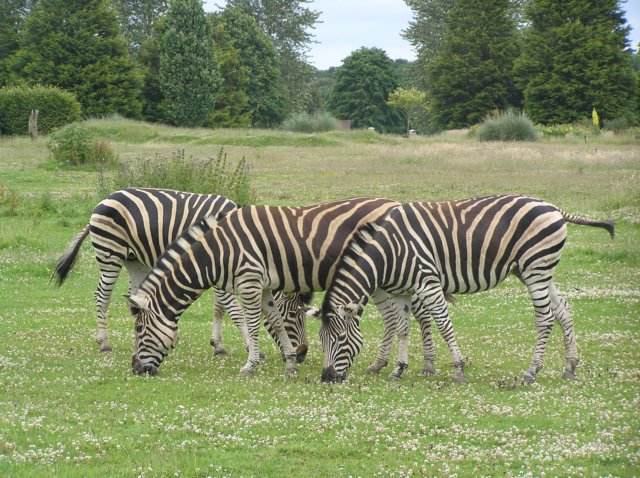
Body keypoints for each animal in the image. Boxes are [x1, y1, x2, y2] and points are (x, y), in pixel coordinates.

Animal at [53, 187, 309, 361]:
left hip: (133, 260)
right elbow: (235, 312)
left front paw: (217, 345)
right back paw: (104, 343)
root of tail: (105, 199)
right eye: (293, 316)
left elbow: (219, 308)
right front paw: (251, 348)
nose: (302, 354)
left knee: (135, 299)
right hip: (110, 254)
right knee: (101, 296)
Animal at [127, 197, 410, 377]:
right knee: (392, 318)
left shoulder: (249, 282)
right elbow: (274, 321)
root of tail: (393, 203)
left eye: (139, 329)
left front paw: (250, 365)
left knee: (393, 318)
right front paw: (291, 364)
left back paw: (388, 365)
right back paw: (380, 365)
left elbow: (252, 325)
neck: (218, 251)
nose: (136, 369)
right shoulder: (263, 287)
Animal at [318, 194, 614, 384]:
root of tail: (554, 207)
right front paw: (398, 370)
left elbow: (443, 324)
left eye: (340, 339)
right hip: (534, 270)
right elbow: (402, 328)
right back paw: (570, 367)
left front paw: (459, 369)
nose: (327, 378)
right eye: (321, 340)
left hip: (535, 268)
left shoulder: (428, 282)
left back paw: (532, 371)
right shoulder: (402, 292)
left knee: (545, 318)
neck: (388, 252)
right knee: (564, 310)